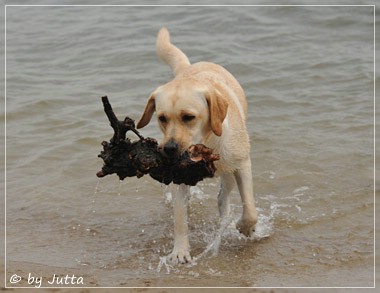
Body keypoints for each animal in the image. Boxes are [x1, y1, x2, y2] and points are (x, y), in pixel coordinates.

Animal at [137, 27, 258, 264]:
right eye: (162, 118)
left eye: (188, 117)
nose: (170, 149)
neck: (206, 144)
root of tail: (189, 67)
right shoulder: (179, 175)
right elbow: (179, 218)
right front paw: (180, 251)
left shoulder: (242, 164)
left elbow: (249, 208)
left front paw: (245, 227)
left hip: (228, 171)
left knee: (223, 198)